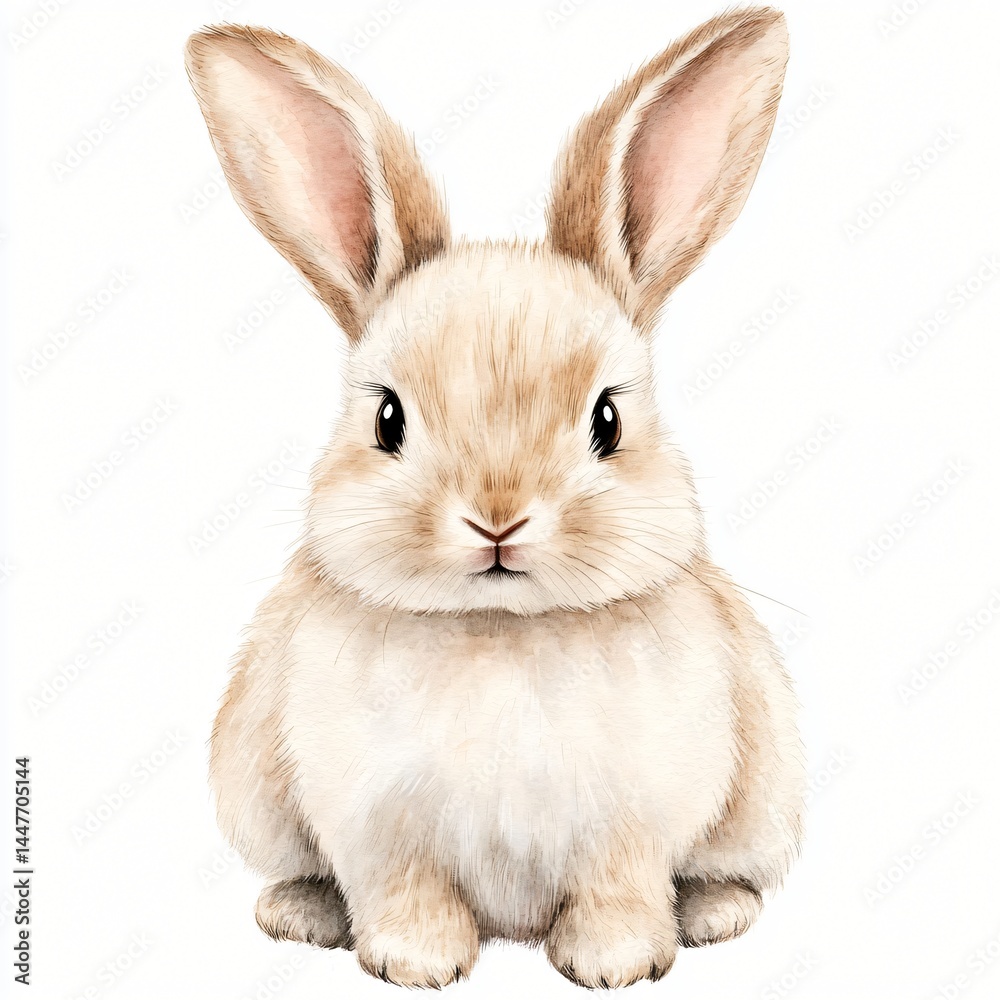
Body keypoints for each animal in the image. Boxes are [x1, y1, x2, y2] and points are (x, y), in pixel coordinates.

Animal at [185, 6, 804, 989]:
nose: (498, 518)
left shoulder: (635, 821)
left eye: (607, 419)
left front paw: (614, 964)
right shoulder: (376, 824)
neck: (499, 632)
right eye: (389, 418)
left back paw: (712, 915)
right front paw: (416, 964)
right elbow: (404, 887)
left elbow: (620, 885)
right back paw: (300, 914)